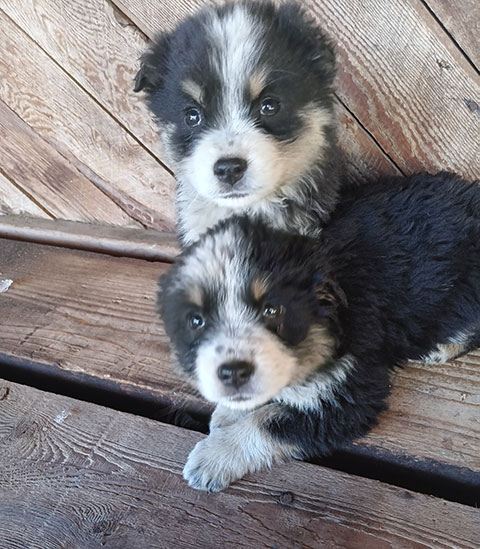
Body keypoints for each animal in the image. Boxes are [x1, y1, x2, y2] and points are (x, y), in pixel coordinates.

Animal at [160, 173, 480, 490]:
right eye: (201, 319)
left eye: (272, 311)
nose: (229, 373)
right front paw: (228, 412)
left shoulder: (350, 394)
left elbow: (269, 422)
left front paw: (214, 456)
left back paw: (439, 349)